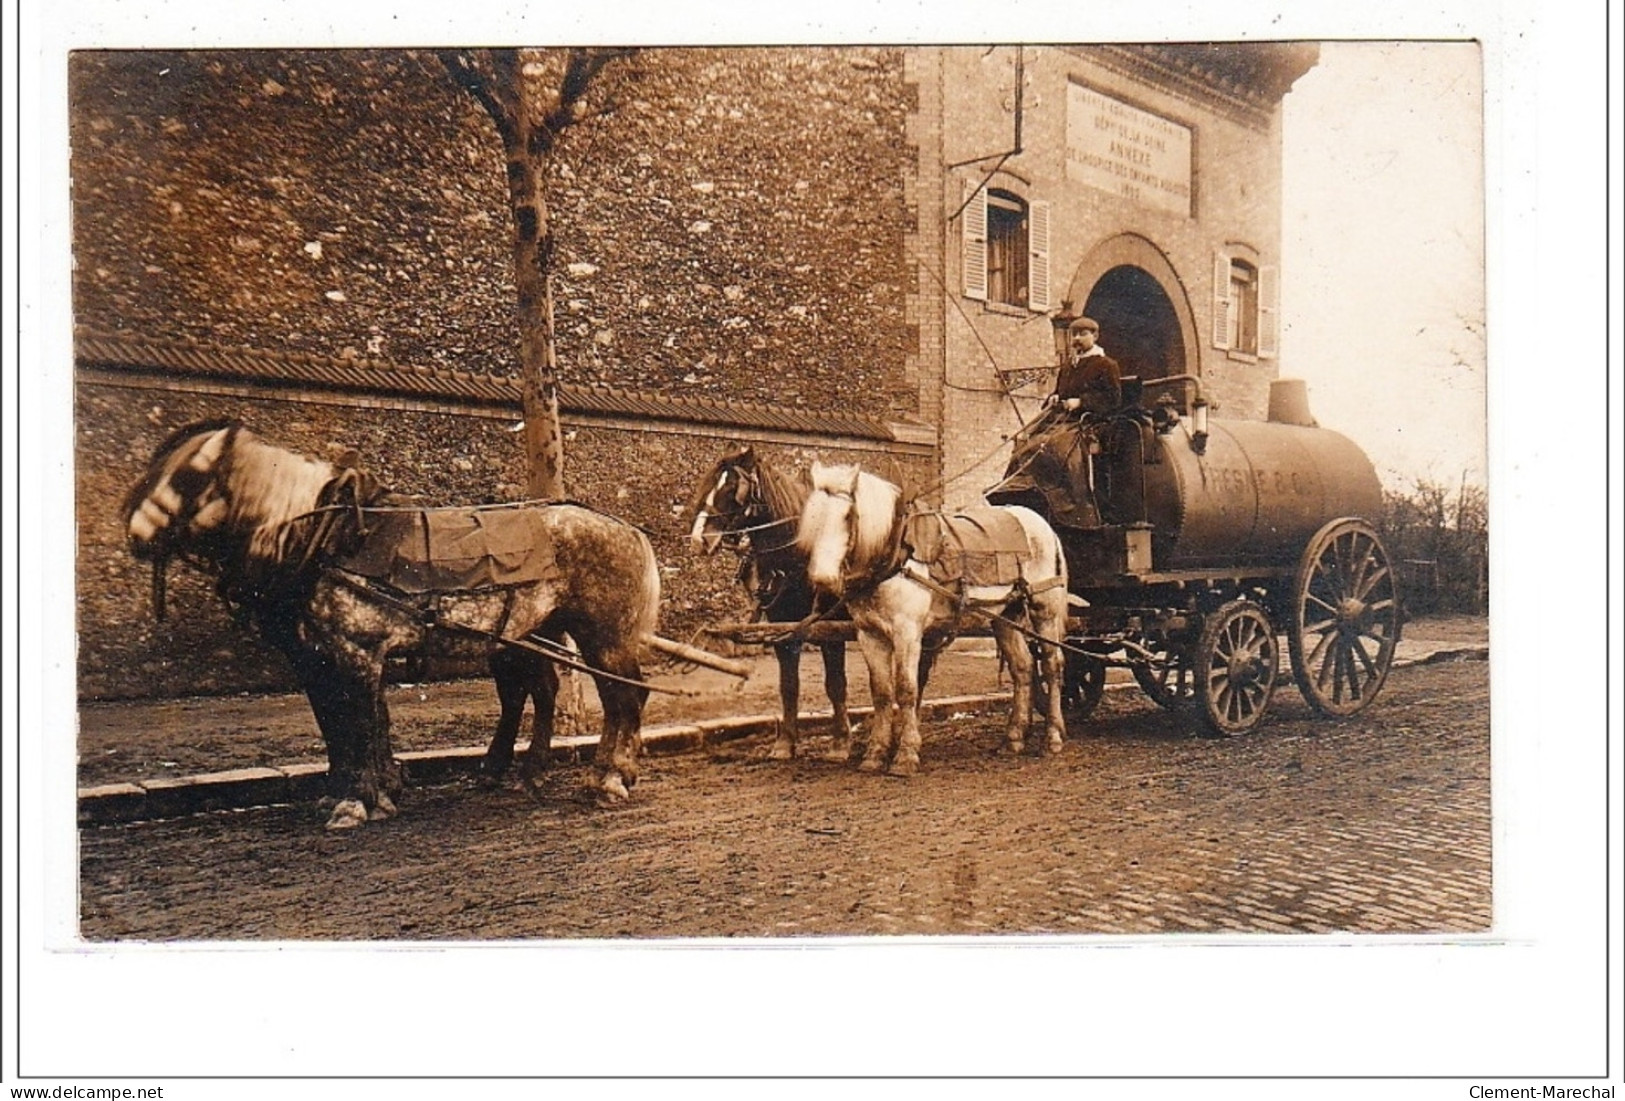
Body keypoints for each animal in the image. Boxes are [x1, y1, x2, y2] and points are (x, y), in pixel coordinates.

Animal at [121, 422, 659, 828]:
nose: (134, 531)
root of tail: (627, 528)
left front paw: (355, 800)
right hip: (531, 634)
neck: (324, 538)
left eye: (190, 474)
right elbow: (348, 723)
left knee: (624, 696)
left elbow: (357, 724)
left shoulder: (354, 651)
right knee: (555, 692)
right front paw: (372, 792)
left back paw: (610, 777)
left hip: (602, 636)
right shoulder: (323, 657)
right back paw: (540, 773)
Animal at [796, 461, 1072, 779]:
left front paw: (905, 755)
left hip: (1044, 611)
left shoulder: (907, 632)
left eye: (848, 515)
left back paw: (1053, 737)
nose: (823, 579)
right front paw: (875, 754)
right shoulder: (869, 635)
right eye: (812, 516)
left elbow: (906, 689)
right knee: (1023, 668)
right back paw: (1013, 739)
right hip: (1005, 616)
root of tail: (1043, 526)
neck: (897, 552)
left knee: (1051, 667)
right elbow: (881, 693)